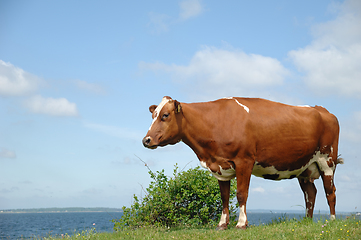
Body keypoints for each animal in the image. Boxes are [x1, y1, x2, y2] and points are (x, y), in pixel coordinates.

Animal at [141, 96, 344, 230]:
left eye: (165, 115)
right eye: (153, 116)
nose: (146, 140)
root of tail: (323, 110)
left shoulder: (244, 161)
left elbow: (241, 194)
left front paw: (241, 224)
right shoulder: (219, 166)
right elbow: (224, 197)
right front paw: (222, 225)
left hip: (327, 160)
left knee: (330, 191)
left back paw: (332, 220)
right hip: (304, 167)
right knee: (311, 193)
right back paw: (307, 221)